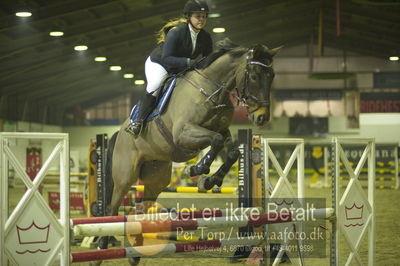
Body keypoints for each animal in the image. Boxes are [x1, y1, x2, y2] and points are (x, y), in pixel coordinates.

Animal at [94, 39, 282, 266]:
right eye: (254, 75)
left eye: (272, 76)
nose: (262, 118)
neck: (213, 90)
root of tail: (118, 133)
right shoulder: (184, 133)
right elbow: (216, 141)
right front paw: (199, 169)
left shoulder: (222, 130)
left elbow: (232, 152)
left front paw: (211, 180)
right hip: (125, 177)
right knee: (112, 209)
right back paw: (101, 248)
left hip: (157, 178)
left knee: (142, 207)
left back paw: (135, 253)